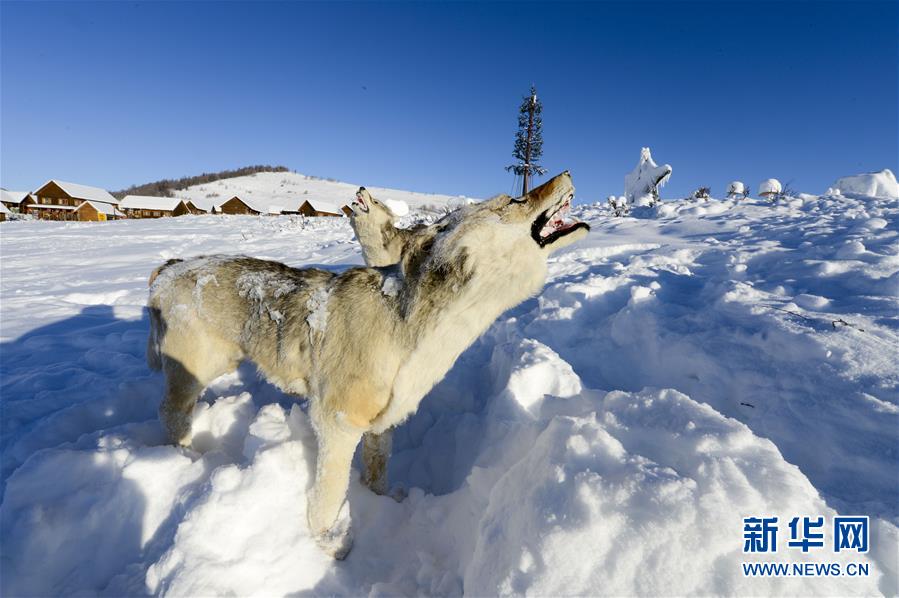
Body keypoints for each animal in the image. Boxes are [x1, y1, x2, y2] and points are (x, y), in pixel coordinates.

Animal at [148, 171, 592, 560]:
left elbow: (378, 468)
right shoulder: (337, 422)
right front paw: (328, 544)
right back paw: (183, 456)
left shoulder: (385, 419)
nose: (569, 171)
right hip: (195, 370)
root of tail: (169, 267)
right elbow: (328, 496)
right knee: (171, 413)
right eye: (513, 200)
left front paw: (383, 502)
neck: (420, 326)